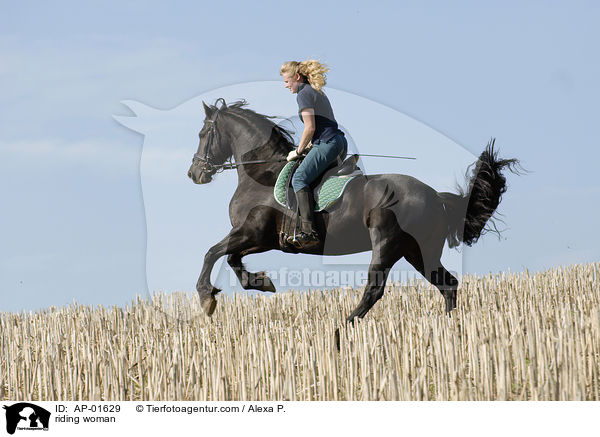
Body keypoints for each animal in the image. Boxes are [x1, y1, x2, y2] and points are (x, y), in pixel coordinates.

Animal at [189, 99, 520, 324]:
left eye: (203, 133)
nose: (195, 173)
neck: (263, 173)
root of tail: (436, 196)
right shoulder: (261, 239)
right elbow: (231, 258)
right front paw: (260, 282)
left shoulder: (251, 233)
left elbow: (211, 253)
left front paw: (207, 297)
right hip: (418, 251)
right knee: (447, 284)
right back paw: (451, 326)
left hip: (386, 243)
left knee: (375, 288)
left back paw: (346, 325)